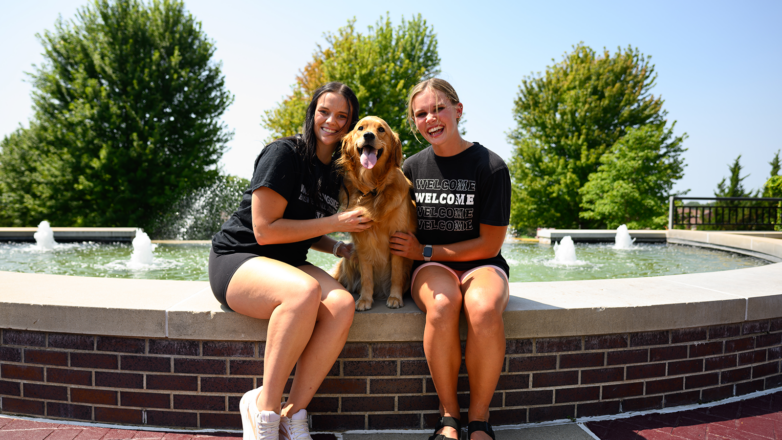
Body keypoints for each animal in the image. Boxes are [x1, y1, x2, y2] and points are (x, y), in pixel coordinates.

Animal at [336, 115, 420, 312]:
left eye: (381, 129)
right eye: (360, 128)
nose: (368, 135)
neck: (373, 189)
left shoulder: (398, 238)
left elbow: (396, 274)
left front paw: (395, 298)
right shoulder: (362, 242)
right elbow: (367, 276)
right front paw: (365, 299)